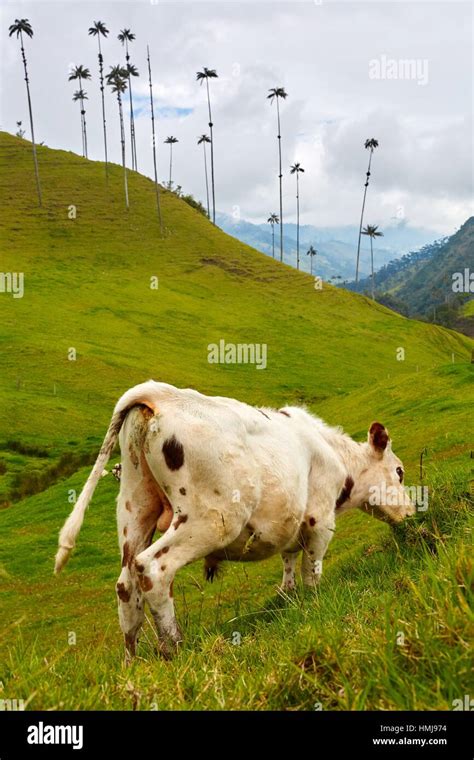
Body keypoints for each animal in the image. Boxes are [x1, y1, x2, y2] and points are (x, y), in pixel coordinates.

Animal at [53, 382, 412, 656]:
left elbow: (288, 559)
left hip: (135, 508)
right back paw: (174, 648)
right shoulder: (319, 518)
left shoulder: (291, 521)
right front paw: (313, 601)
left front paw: (288, 596)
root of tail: (159, 392)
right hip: (212, 519)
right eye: (399, 471)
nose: (410, 513)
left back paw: (134, 662)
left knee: (126, 585)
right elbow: (312, 567)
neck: (334, 455)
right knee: (154, 568)